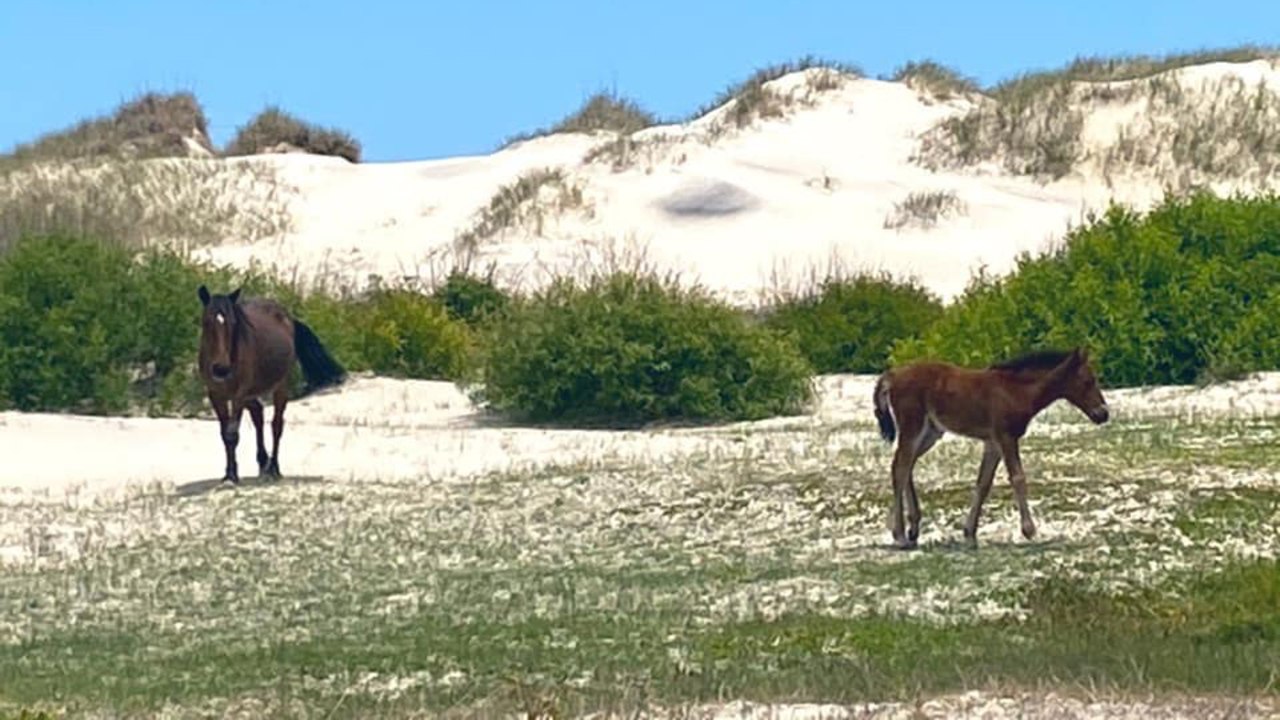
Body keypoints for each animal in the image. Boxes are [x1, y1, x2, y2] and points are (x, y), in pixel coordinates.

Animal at [197, 285, 347, 484]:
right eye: (206, 322)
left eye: (233, 323)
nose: (221, 369)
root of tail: (288, 318)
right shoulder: (216, 394)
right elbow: (225, 434)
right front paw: (229, 473)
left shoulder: (238, 395)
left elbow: (232, 434)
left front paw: (232, 475)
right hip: (251, 393)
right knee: (258, 414)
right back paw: (263, 461)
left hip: (280, 387)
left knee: (276, 425)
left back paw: (274, 467)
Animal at [871, 347, 1110, 550]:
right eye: (1088, 381)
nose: (1103, 414)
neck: (1016, 390)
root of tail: (892, 375)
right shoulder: (1006, 437)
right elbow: (1018, 478)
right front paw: (1029, 530)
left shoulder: (992, 443)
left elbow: (983, 483)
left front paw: (970, 533)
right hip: (913, 427)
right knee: (900, 468)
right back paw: (900, 535)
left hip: (931, 433)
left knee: (907, 466)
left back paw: (914, 529)